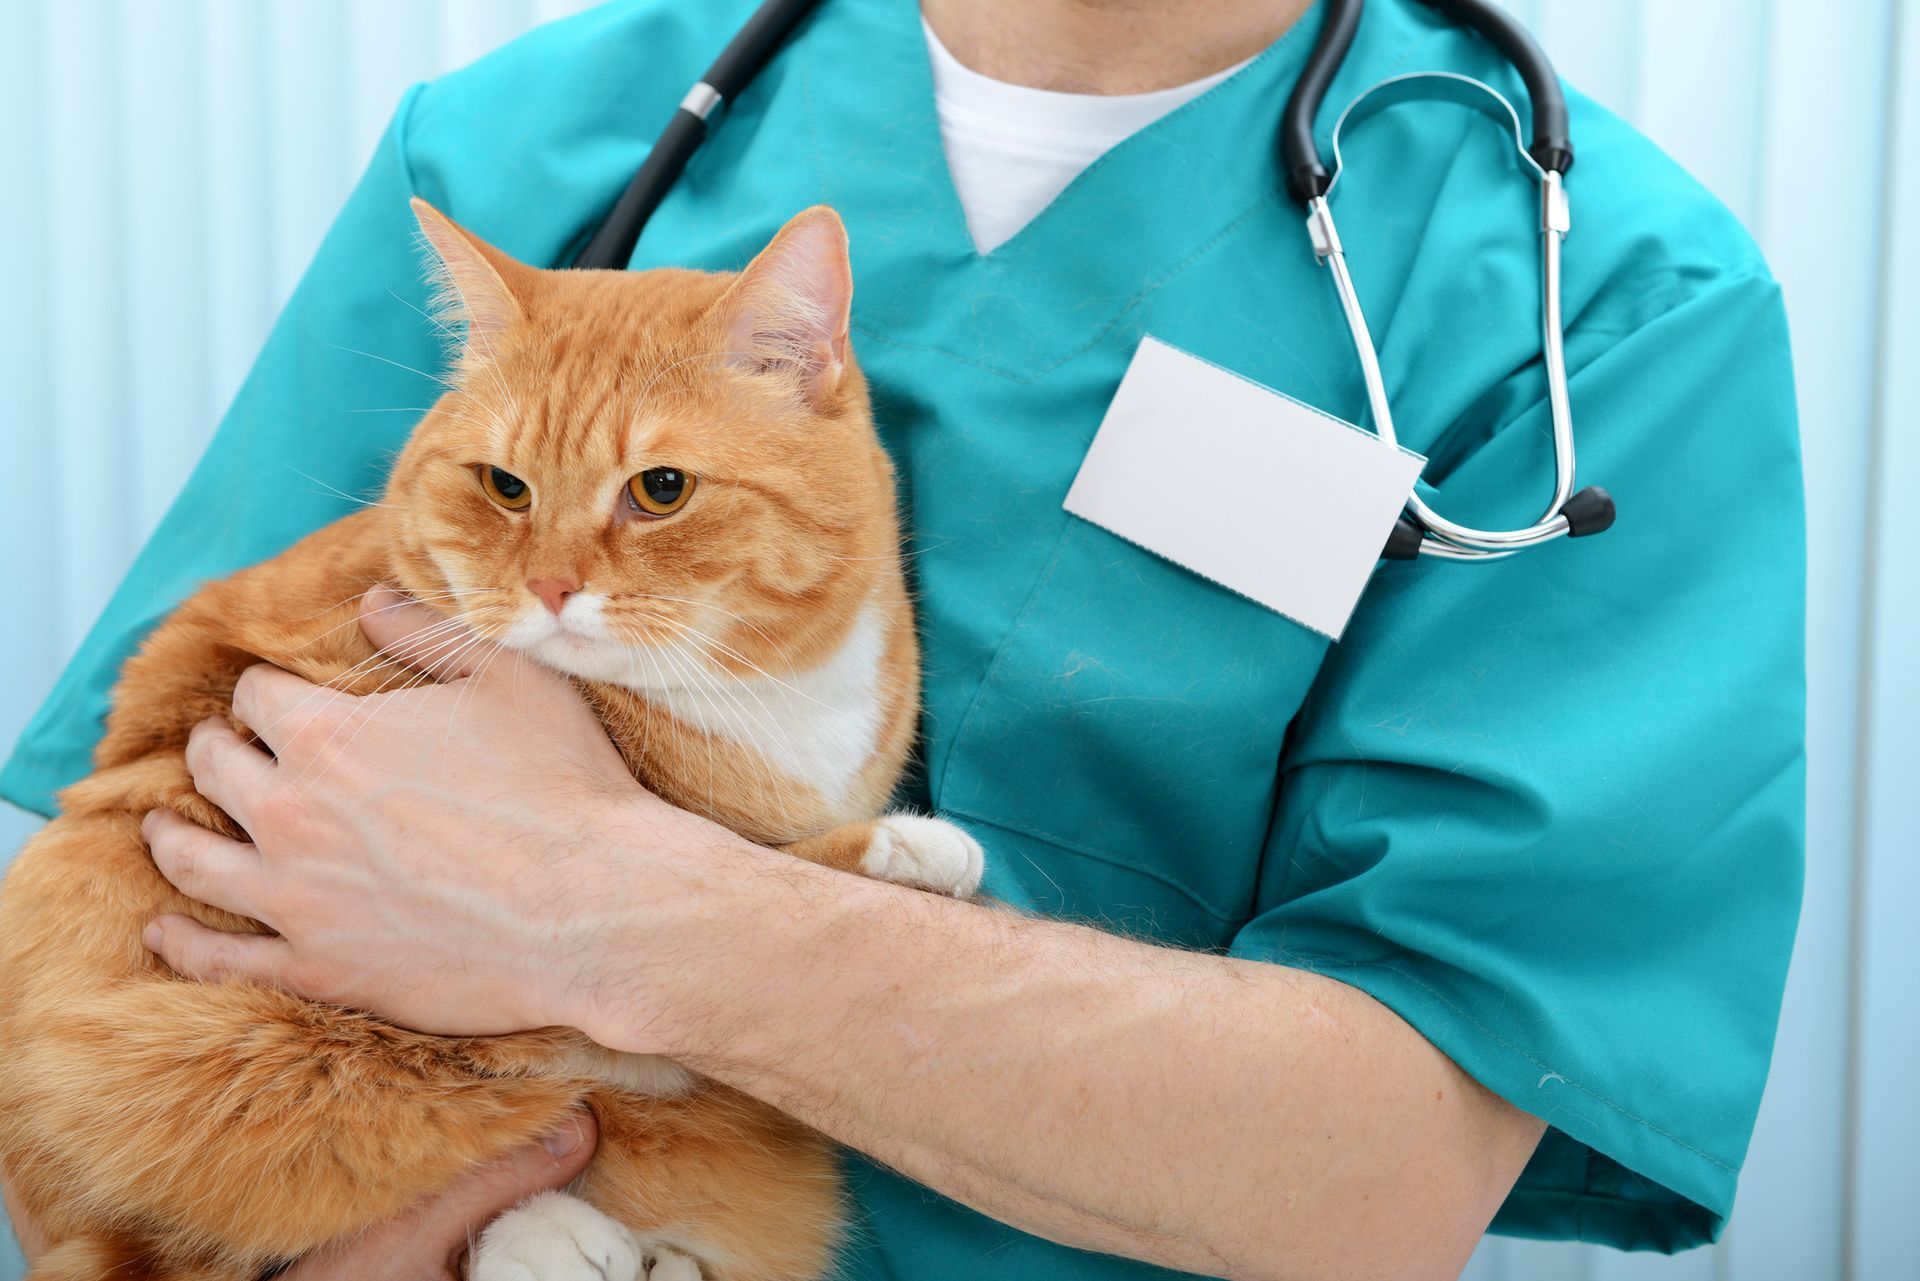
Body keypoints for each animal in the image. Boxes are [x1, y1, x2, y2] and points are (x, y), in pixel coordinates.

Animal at [0, 200, 983, 1281]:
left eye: (662, 489)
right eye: (505, 487)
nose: (550, 587)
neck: (753, 694)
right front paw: (897, 847)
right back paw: (546, 1236)